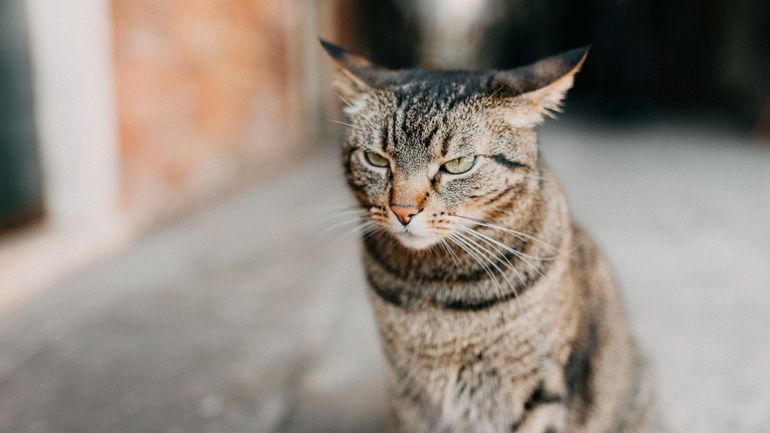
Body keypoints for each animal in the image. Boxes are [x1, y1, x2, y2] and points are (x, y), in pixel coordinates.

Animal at [320, 39, 652, 432]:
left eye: (458, 165)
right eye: (376, 159)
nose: (403, 211)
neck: (438, 289)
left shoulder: (542, 387)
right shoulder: (408, 393)